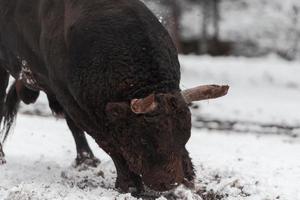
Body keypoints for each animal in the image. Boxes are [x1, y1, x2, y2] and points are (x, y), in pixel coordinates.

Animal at [0, 0, 227, 194]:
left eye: (186, 135)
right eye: (144, 140)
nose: (170, 182)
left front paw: (189, 173)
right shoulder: (71, 99)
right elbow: (107, 141)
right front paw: (129, 184)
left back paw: (85, 160)